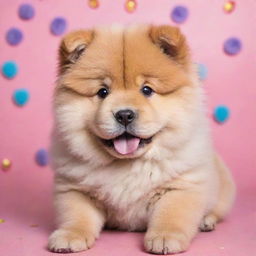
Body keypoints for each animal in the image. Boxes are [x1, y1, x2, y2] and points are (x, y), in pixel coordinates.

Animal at [47, 24, 235, 254]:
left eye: (147, 90)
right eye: (102, 92)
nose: (124, 114)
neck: (127, 165)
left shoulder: (181, 186)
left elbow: (170, 215)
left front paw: (164, 238)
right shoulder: (74, 188)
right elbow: (77, 215)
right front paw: (69, 236)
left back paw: (206, 221)